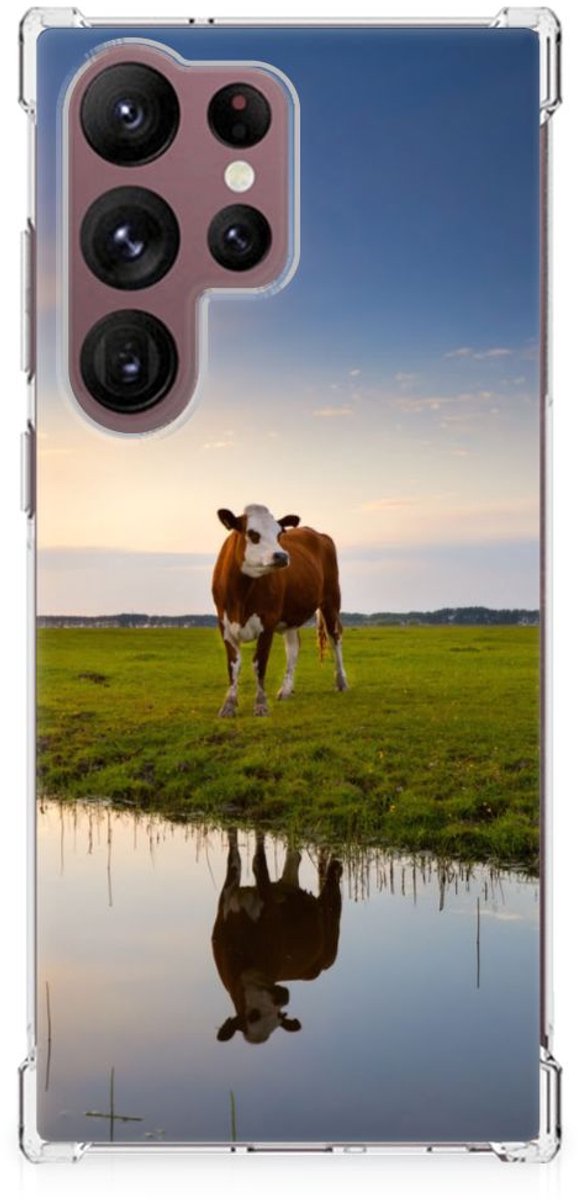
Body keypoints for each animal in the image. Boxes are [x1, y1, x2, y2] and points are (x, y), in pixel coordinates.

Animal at [212, 504, 347, 717]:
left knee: (335, 637)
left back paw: (341, 681)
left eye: (279, 534)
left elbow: (259, 663)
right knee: (293, 647)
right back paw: (286, 689)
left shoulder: (267, 622)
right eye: (253, 534)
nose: (282, 556)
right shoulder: (224, 625)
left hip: (331, 599)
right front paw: (229, 705)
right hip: (291, 616)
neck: (240, 596)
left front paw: (261, 705)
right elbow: (233, 665)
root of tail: (317, 533)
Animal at [212, 829, 342, 1044]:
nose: (283, 997)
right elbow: (234, 856)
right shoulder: (227, 896)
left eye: (279, 1016)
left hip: (331, 926)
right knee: (294, 857)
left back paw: (336, 866)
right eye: (253, 1015)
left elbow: (258, 862)